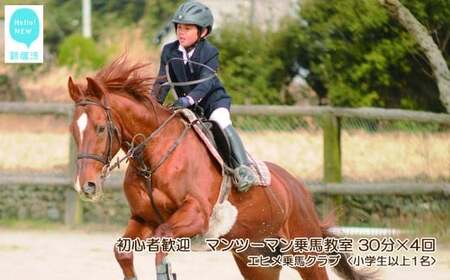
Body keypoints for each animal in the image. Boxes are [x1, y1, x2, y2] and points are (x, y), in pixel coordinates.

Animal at [67, 57, 372, 280]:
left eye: (100, 128)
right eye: (73, 129)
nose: (86, 186)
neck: (153, 161)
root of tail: (300, 190)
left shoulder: (195, 216)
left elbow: (162, 245)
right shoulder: (142, 219)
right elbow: (123, 252)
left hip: (305, 253)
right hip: (256, 261)